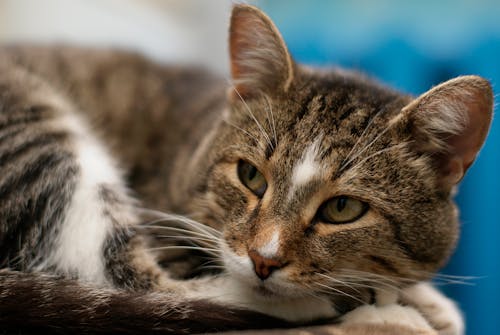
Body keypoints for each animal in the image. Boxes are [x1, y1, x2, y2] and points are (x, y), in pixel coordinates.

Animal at [0, 3, 492, 335]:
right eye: (251, 176)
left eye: (343, 209)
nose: (263, 260)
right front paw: (404, 299)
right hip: (42, 138)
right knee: (138, 283)